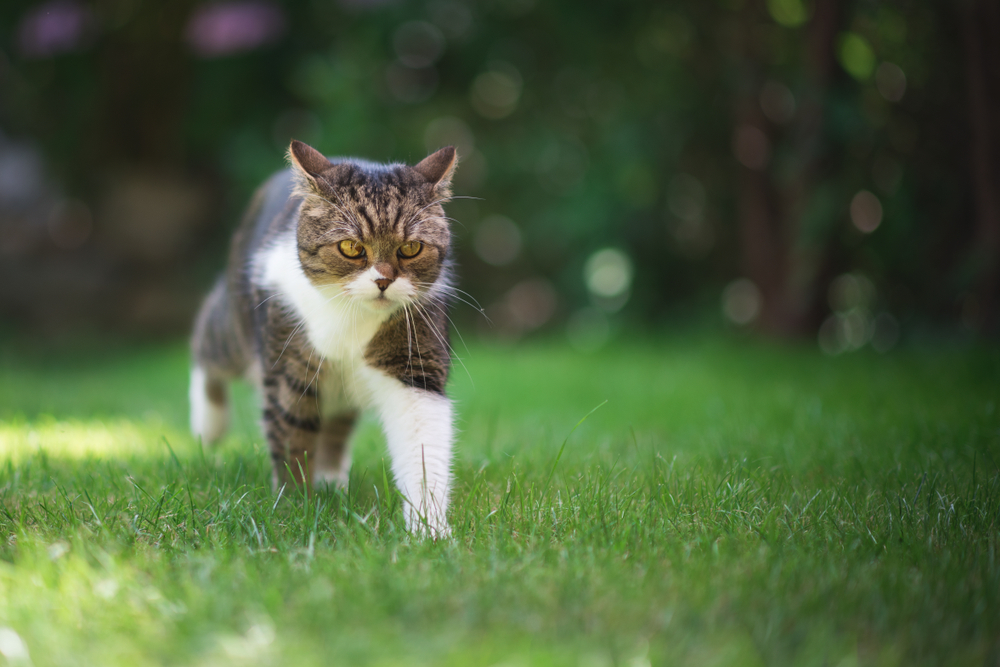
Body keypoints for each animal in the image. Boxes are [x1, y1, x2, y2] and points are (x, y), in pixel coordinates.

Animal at [189, 140, 458, 536]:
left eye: (411, 248)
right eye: (351, 247)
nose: (383, 281)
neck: (351, 316)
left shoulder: (413, 357)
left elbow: (423, 442)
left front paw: (430, 531)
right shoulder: (287, 361)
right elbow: (291, 432)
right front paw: (294, 505)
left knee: (336, 424)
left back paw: (332, 481)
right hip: (235, 328)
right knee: (207, 343)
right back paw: (208, 426)